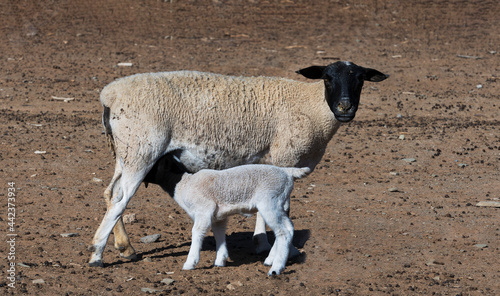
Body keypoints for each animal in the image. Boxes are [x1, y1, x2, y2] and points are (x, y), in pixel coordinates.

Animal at [158, 154, 310, 276]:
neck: (183, 183)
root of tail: (287, 172)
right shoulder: (218, 216)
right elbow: (218, 233)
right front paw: (220, 261)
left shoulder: (204, 210)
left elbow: (197, 232)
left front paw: (190, 263)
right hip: (280, 203)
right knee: (289, 227)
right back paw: (271, 260)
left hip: (270, 202)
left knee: (283, 231)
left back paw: (276, 268)